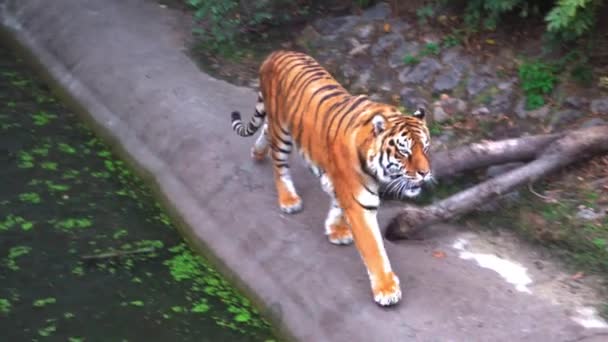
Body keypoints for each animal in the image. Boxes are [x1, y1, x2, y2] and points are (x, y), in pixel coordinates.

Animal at [229, 49, 432, 306]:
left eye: (425, 148)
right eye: (404, 152)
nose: (425, 173)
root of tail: (277, 53)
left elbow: (337, 204)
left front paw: (336, 230)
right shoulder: (360, 202)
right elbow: (374, 248)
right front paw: (387, 290)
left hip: (278, 125)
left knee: (266, 130)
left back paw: (257, 153)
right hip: (282, 131)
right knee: (279, 164)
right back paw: (288, 199)